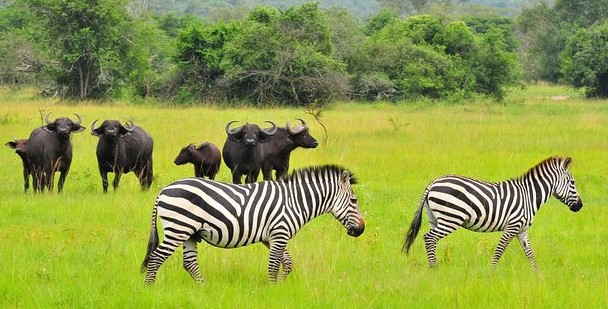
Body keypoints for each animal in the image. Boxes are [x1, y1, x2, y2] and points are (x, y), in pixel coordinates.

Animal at [140, 164, 364, 284]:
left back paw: (202, 289)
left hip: (189, 233)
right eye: (354, 201)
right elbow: (274, 265)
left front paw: (279, 287)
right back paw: (149, 289)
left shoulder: (271, 237)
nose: (361, 230)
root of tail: (163, 190)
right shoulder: (279, 233)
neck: (294, 201)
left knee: (189, 263)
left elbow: (288, 263)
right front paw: (272, 289)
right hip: (178, 228)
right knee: (156, 258)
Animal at [404, 155, 584, 268]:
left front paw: (538, 276)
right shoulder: (512, 226)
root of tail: (433, 183)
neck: (529, 195)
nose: (580, 206)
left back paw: (433, 266)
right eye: (573, 182)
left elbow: (530, 254)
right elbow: (499, 250)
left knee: (431, 240)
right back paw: (434, 267)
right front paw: (491, 273)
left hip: (434, 218)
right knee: (429, 238)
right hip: (451, 218)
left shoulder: (522, 230)